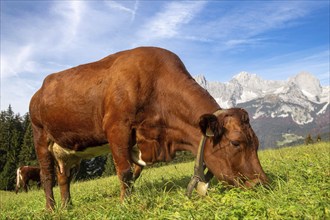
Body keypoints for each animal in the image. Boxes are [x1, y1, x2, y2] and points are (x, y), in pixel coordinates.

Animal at [29, 46, 268, 210]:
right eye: (235, 142)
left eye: (257, 142)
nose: (262, 184)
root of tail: (39, 91)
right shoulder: (117, 128)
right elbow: (125, 172)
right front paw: (126, 205)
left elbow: (133, 173)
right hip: (40, 137)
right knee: (47, 176)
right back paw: (51, 209)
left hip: (70, 152)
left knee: (64, 178)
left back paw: (67, 206)